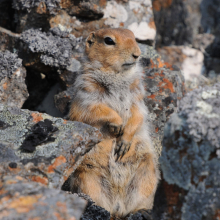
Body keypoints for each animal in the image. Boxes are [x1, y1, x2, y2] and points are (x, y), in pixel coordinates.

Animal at [68, 28, 159, 219]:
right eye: (109, 40)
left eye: (133, 36)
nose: (137, 54)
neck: (118, 76)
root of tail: (118, 206)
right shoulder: (87, 95)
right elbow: (96, 110)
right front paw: (117, 124)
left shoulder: (137, 97)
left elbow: (138, 115)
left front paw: (123, 142)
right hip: (88, 177)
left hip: (146, 175)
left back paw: (141, 211)